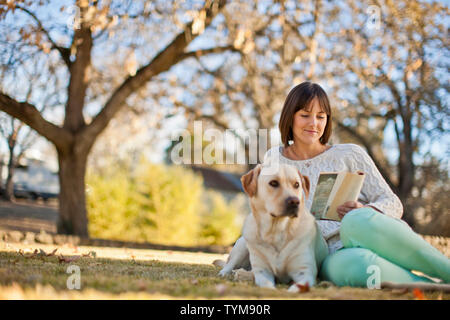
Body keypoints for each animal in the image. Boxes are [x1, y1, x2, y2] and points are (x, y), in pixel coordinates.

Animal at [219, 164, 326, 292]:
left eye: (296, 185)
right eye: (274, 183)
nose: (295, 201)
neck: (276, 231)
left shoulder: (305, 272)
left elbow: (296, 288)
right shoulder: (262, 271)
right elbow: (267, 285)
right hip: (242, 247)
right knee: (229, 264)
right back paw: (226, 273)